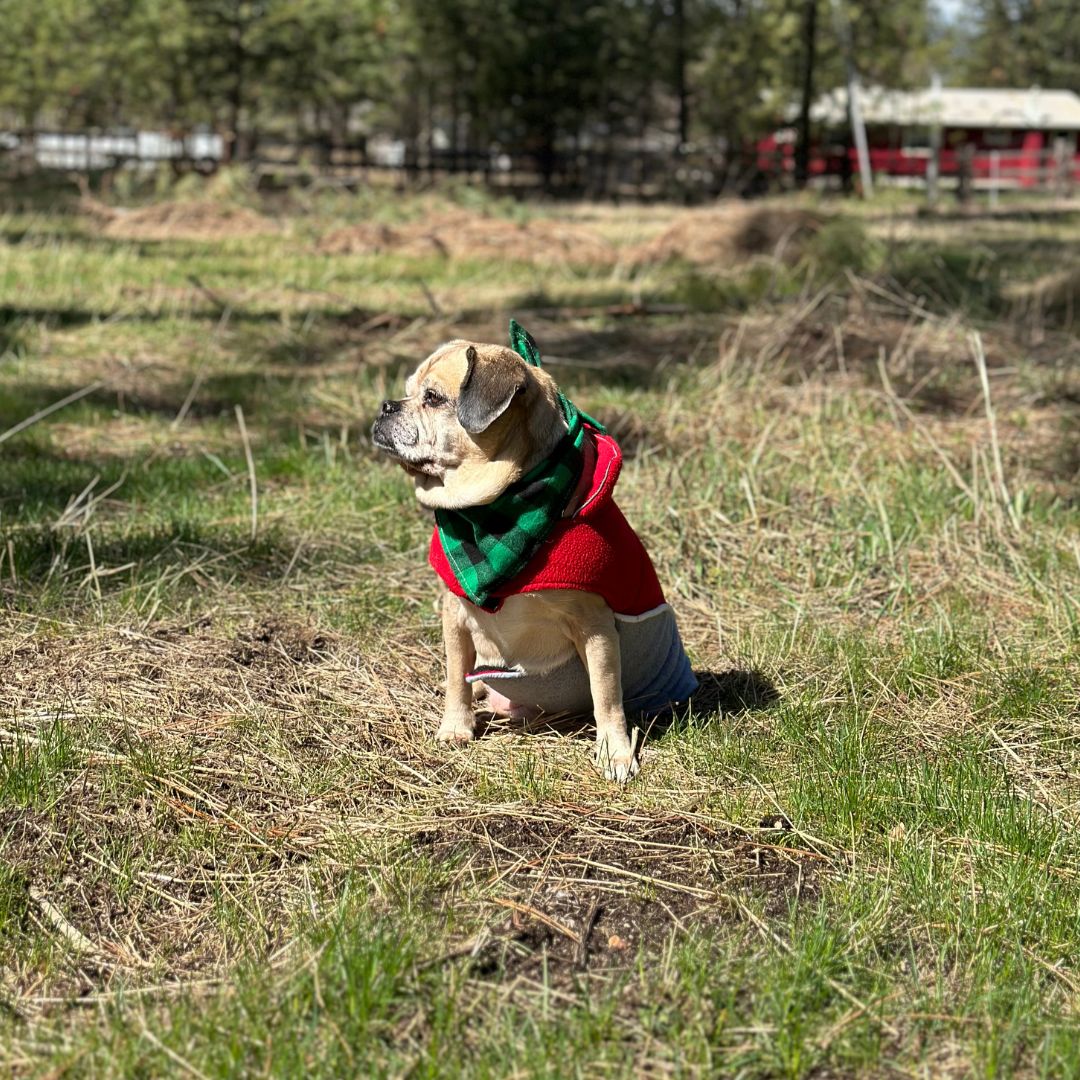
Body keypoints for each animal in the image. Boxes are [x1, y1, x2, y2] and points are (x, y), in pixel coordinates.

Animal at [369, 315, 691, 781]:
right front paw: (456, 726)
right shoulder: (454, 613)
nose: (385, 406)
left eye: (432, 398)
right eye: (409, 391)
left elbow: (606, 693)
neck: (492, 512)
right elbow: (456, 675)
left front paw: (615, 751)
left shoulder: (596, 628)